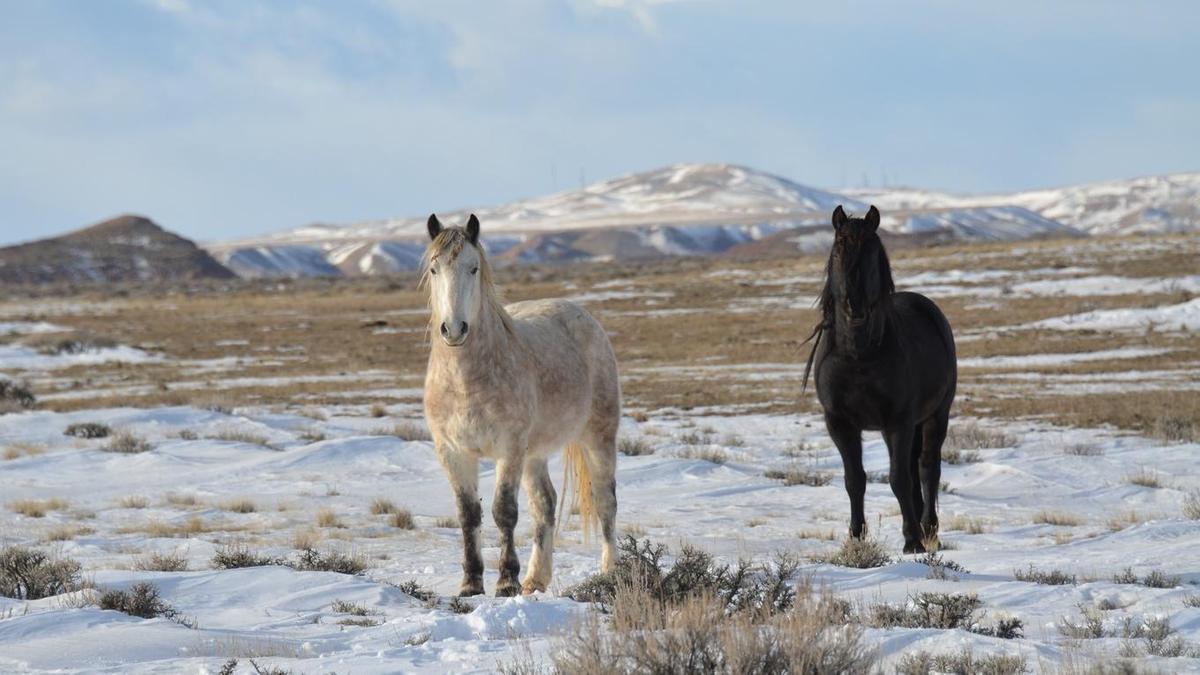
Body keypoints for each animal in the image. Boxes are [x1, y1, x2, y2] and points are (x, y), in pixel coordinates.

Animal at [420, 211, 619, 593]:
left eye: (473, 268)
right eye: (434, 269)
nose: (454, 329)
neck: (466, 382)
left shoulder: (508, 449)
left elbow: (504, 512)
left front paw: (505, 582)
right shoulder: (451, 452)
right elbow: (468, 515)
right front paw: (471, 583)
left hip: (598, 437)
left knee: (605, 503)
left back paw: (610, 573)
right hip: (535, 454)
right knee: (545, 505)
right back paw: (536, 580)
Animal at [806, 204, 955, 552]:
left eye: (872, 251)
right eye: (839, 248)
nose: (854, 306)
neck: (858, 355)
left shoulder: (898, 421)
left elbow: (898, 478)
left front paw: (912, 541)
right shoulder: (840, 423)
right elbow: (855, 479)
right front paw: (855, 537)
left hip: (936, 415)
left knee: (927, 468)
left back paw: (929, 529)